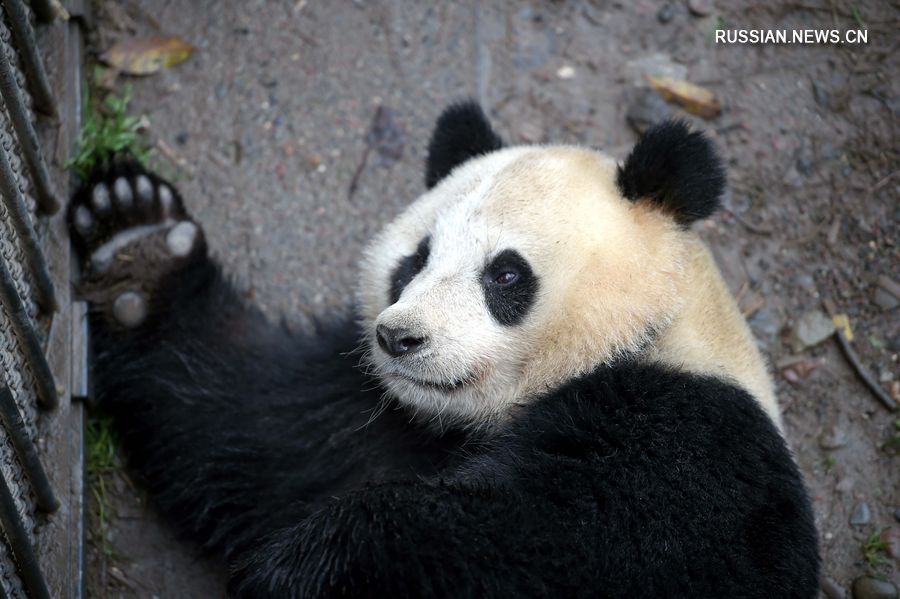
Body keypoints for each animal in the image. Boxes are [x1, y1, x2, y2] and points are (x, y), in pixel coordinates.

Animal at [67, 104, 820, 599]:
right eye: (415, 260)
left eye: (505, 275)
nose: (400, 338)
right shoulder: (378, 415)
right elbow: (250, 434)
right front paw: (138, 251)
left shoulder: (688, 443)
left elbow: (548, 548)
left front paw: (317, 565)